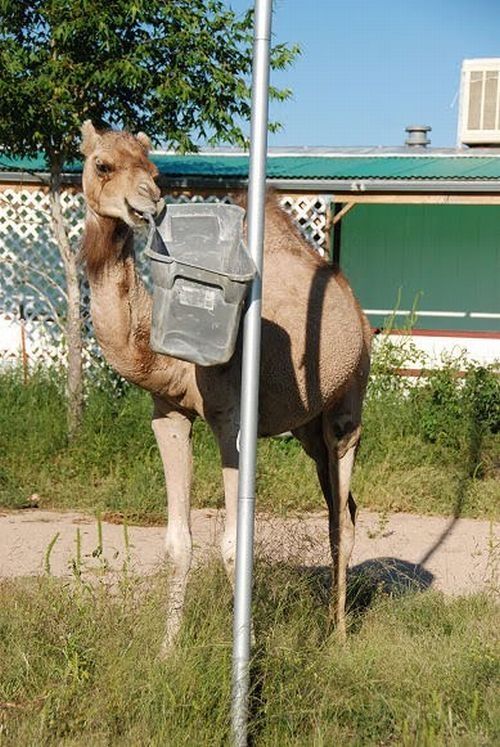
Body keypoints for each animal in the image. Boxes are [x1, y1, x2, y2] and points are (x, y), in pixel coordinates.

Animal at [80, 121, 372, 648]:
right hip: (308, 427)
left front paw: (245, 646)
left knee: (343, 515)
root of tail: (357, 312)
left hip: (348, 403)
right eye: (102, 164)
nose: (148, 202)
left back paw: (338, 634)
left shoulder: (232, 418)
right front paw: (168, 650)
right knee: (344, 509)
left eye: (155, 171)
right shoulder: (168, 413)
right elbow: (178, 542)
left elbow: (236, 546)